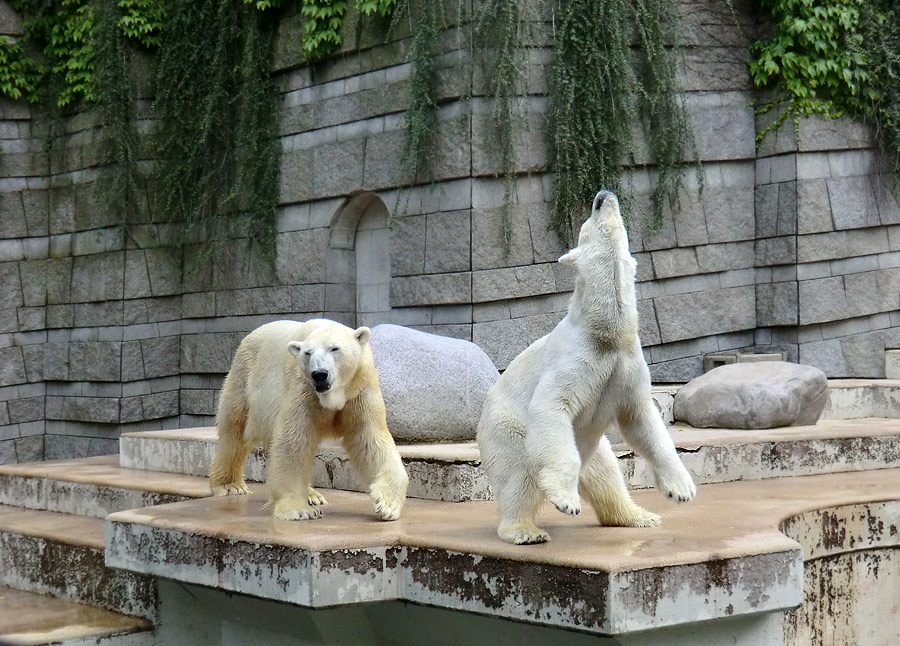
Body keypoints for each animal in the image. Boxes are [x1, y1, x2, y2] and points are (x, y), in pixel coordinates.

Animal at [207, 318, 408, 520]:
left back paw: (313, 496)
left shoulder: (359, 390)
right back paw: (231, 486)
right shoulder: (303, 389)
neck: (334, 394)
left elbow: (369, 439)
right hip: (245, 378)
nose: (319, 374)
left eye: (334, 348)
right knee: (234, 429)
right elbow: (294, 442)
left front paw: (386, 505)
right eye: (307, 353)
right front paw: (299, 510)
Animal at [478, 190, 696, 544]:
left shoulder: (627, 365)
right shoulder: (575, 361)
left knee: (607, 474)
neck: (606, 333)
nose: (603, 194)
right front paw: (565, 500)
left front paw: (681, 489)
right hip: (508, 430)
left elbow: (642, 419)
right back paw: (525, 530)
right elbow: (552, 405)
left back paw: (639, 516)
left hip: (594, 448)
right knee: (518, 477)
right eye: (591, 216)